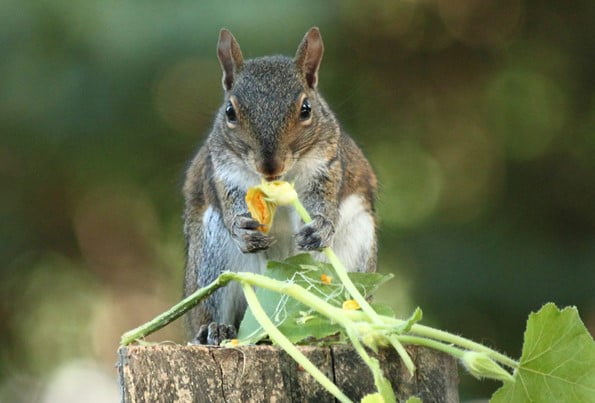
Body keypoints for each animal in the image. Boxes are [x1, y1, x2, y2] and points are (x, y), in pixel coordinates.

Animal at [184, 27, 378, 344]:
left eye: (306, 109)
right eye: (230, 112)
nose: (269, 166)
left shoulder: (327, 166)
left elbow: (324, 203)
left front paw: (321, 227)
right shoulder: (223, 172)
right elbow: (231, 204)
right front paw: (242, 229)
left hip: (359, 243)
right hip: (211, 259)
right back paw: (216, 329)